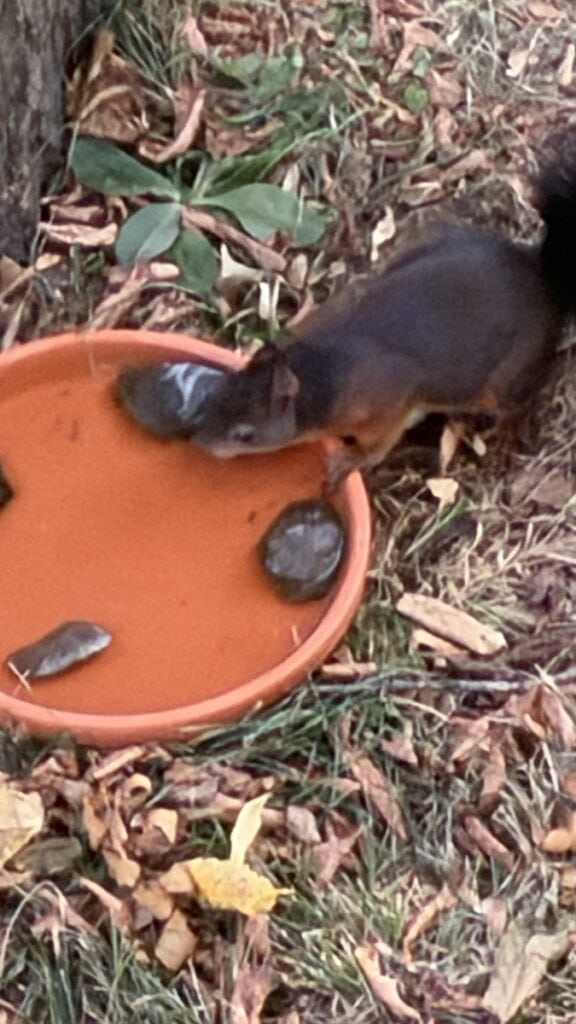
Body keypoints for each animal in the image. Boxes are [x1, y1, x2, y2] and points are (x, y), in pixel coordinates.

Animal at [191, 136, 576, 488]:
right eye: (218, 393)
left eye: (245, 435)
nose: (200, 442)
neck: (321, 369)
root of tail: (541, 275)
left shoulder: (386, 403)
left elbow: (377, 445)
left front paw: (348, 460)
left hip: (505, 380)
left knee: (520, 401)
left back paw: (508, 432)